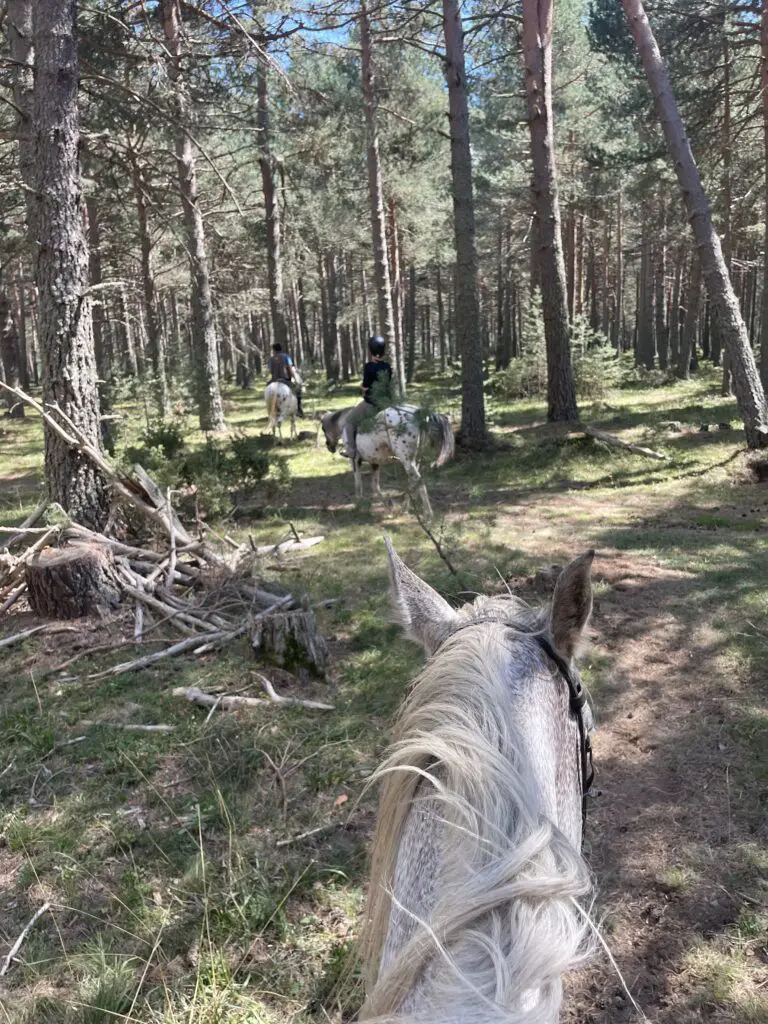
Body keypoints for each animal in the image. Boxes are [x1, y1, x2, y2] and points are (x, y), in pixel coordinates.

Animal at [320, 405, 454, 518]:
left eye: (323, 429)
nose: (329, 447)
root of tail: (418, 413)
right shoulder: (374, 462)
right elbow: (375, 486)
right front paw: (389, 506)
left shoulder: (355, 460)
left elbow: (358, 484)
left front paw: (359, 505)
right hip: (415, 460)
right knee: (413, 482)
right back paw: (404, 509)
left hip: (407, 460)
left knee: (419, 482)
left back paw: (428, 515)